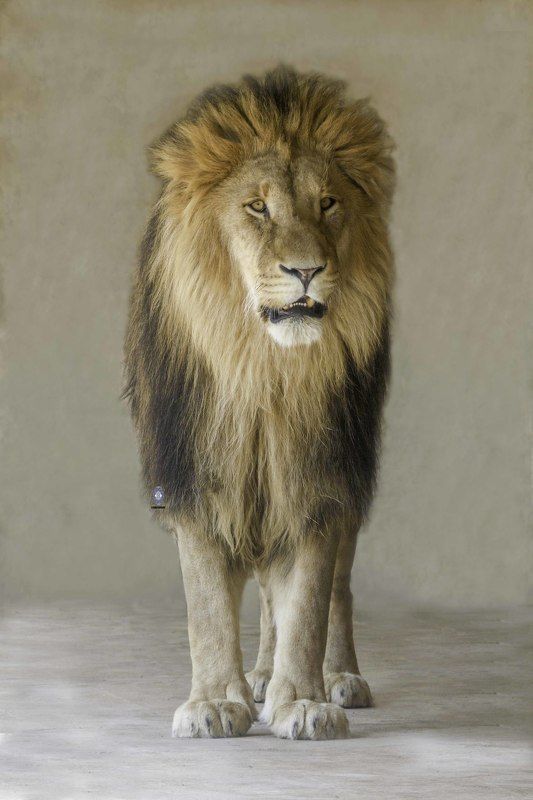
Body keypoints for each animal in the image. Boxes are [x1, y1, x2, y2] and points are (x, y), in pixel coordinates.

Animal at [124, 66, 394, 740]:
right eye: (257, 207)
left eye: (328, 203)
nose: (307, 270)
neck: (264, 371)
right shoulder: (195, 478)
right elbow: (207, 606)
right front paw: (216, 702)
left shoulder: (318, 478)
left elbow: (309, 604)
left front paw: (303, 702)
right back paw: (264, 677)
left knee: (335, 590)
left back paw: (333, 678)